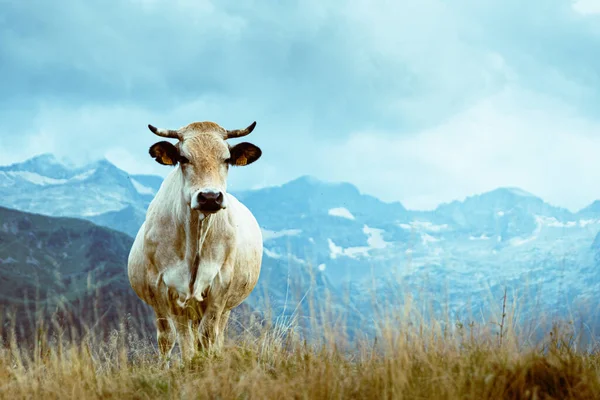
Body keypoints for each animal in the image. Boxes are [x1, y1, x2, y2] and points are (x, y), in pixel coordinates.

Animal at [127, 120, 264, 360]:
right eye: (183, 158)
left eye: (226, 159)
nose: (210, 197)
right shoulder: (167, 288)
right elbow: (180, 339)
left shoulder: (220, 286)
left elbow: (207, 335)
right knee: (168, 337)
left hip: (224, 307)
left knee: (215, 334)